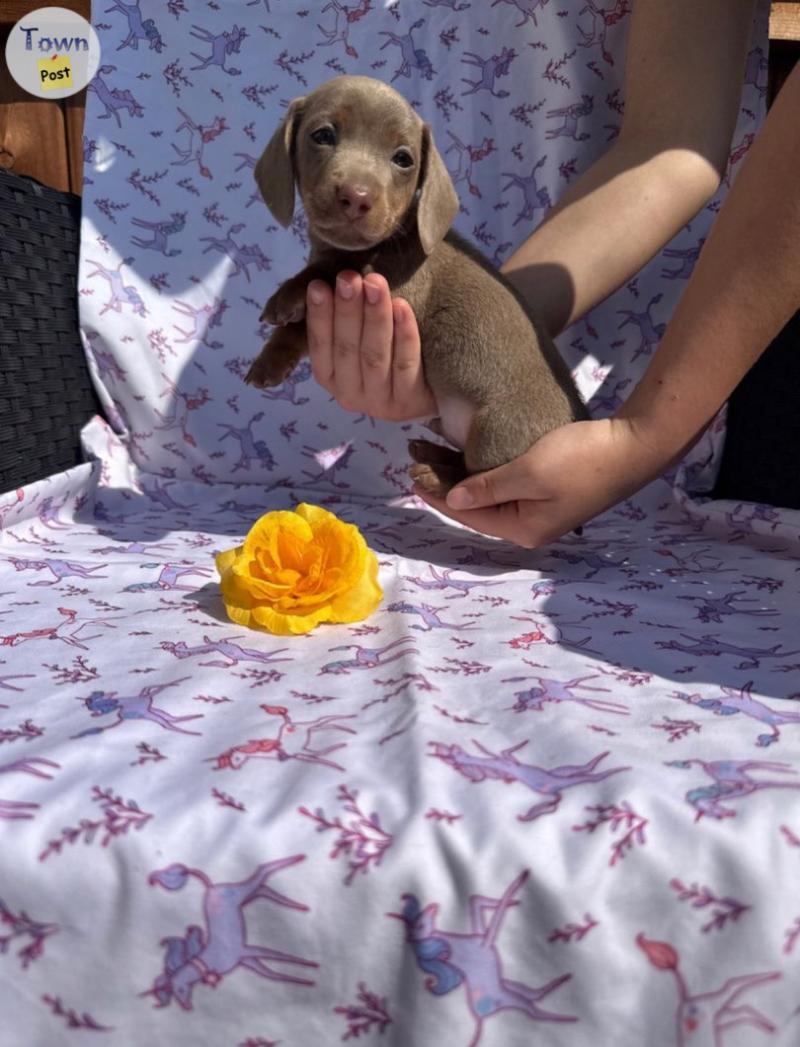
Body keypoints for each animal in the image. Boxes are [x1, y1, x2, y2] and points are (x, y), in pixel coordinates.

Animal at [245, 76, 586, 494]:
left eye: (403, 158)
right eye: (322, 135)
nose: (356, 197)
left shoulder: (393, 291)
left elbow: (315, 300)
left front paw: (283, 312)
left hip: (495, 429)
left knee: (474, 473)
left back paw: (437, 473)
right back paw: (432, 452)